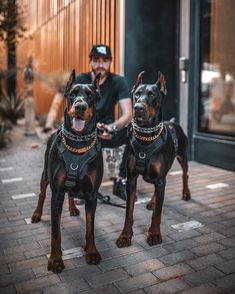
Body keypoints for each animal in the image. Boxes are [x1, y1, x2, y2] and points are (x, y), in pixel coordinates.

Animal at [31, 70, 103, 272]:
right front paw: (56, 259)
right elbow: (56, 233)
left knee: (71, 193)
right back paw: (37, 214)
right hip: (45, 175)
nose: (80, 106)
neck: (78, 143)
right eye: (72, 94)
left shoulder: (92, 195)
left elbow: (90, 228)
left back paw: (72, 208)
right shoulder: (56, 194)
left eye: (90, 95)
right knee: (41, 194)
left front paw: (91, 251)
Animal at [115, 71, 191, 248]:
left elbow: (157, 214)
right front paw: (125, 236)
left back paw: (185, 192)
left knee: (185, 174)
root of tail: (173, 122)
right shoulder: (131, 179)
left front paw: (154, 234)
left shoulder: (161, 178)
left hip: (182, 156)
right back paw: (152, 202)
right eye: (137, 94)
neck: (146, 138)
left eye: (151, 95)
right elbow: (128, 212)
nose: (138, 108)